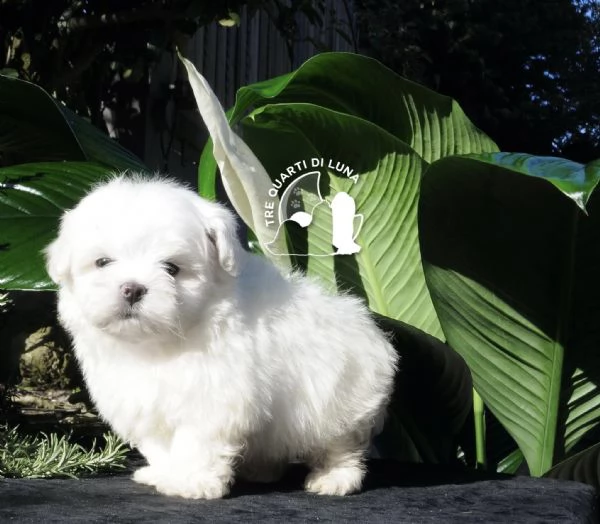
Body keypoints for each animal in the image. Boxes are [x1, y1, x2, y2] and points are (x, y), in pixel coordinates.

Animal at [45, 175, 398, 499]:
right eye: (103, 262)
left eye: (172, 268)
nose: (132, 288)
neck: (158, 343)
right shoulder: (147, 404)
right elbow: (160, 444)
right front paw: (164, 472)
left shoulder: (211, 399)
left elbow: (195, 442)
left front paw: (191, 482)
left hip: (340, 400)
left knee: (341, 446)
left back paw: (334, 479)